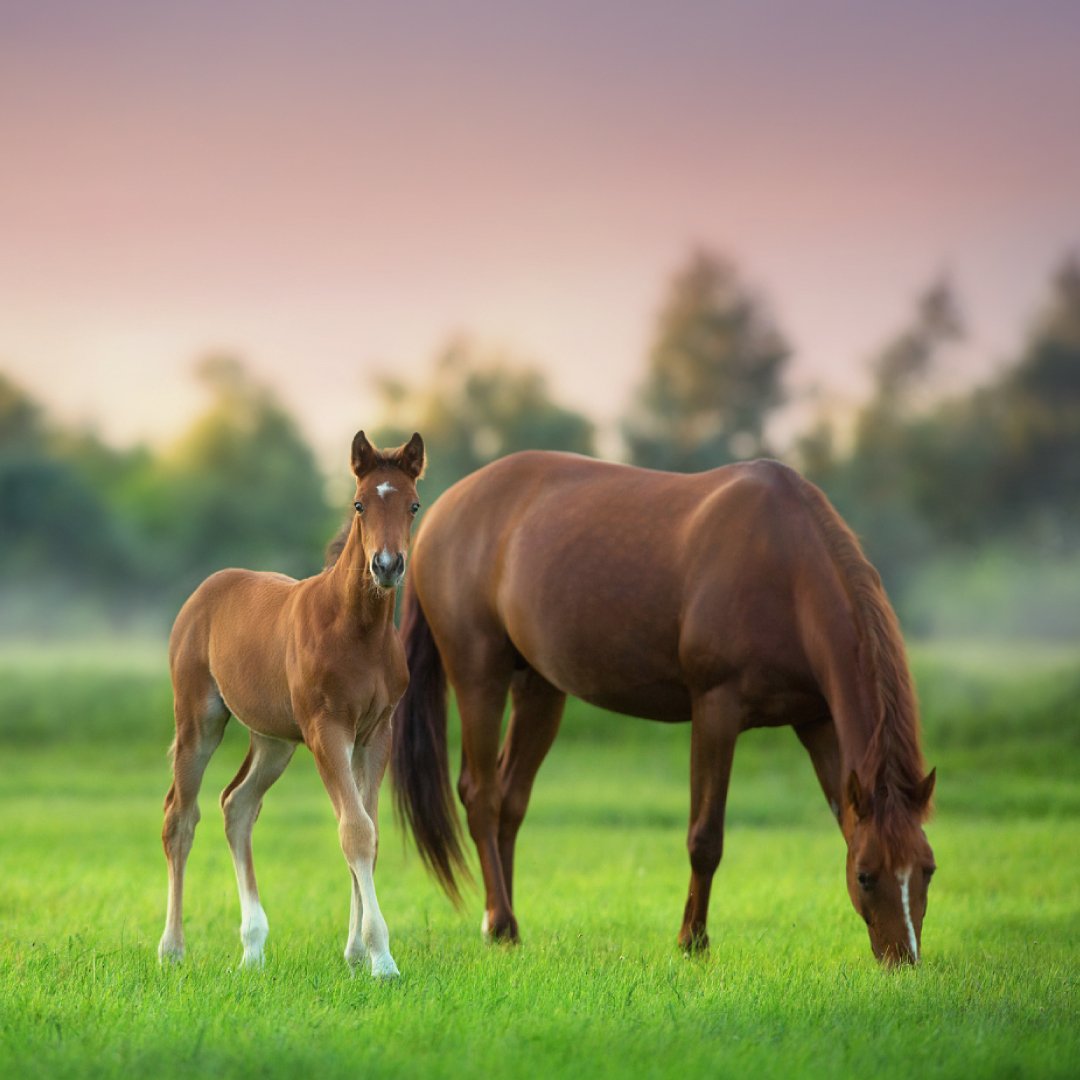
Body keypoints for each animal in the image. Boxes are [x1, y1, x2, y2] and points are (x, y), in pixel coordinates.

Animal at [158, 430, 425, 978]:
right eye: (359, 503)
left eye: (413, 504)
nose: (387, 566)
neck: (356, 630)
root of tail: (207, 588)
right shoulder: (327, 730)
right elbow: (354, 831)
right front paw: (382, 959)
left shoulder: (375, 734)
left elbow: (369, 833)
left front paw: (356, 953)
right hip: (199, 719)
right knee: (180, 817)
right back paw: (172, 949)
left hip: (273, 740)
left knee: (237, 805)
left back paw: (253, 947)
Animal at [390, 451, 937, 965]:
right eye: (866, 876)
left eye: (928, 870)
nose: (902, 959)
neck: (786, 567)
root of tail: (440, 511)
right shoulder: (717, 709)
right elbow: (705, 838)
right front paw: (692, 941)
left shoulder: (817, 722)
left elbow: (842, 820)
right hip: (478, 674)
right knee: (481, 795)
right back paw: (500, 922)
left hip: (540, 688)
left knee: (510, 798)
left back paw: (503, 925)